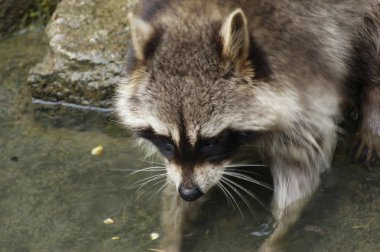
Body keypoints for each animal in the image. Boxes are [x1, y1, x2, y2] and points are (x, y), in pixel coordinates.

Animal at [115, 0, 380, 251]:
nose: (189, 193)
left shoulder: (306, 76)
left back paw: (372, 109)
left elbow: (300, 172)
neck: (196, 16)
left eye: (211, 141)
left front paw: (277, 234)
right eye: (166, 141)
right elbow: (174, 175)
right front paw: (172, 233)